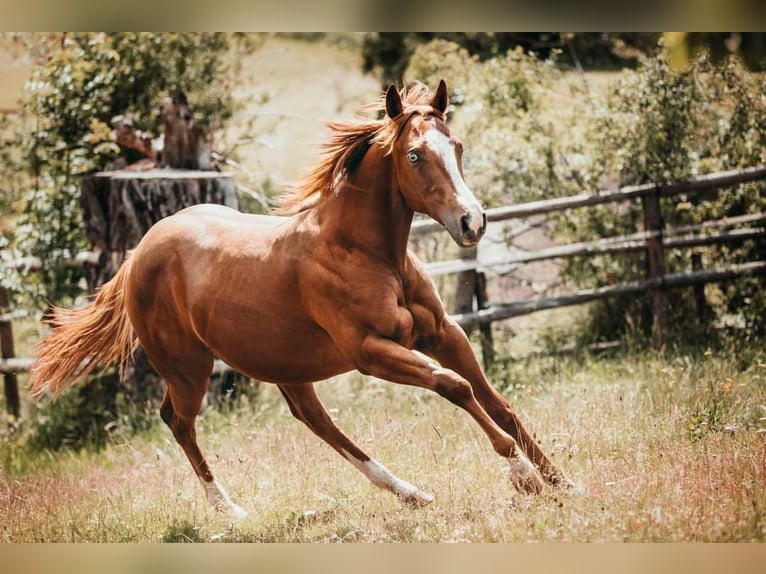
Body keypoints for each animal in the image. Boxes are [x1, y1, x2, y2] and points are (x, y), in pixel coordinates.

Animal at [28, 82, 568, 520]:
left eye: (456, 146)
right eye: (415, 156)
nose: (472, 222)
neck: (366, 252)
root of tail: (140, 251)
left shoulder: (441, 333)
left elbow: (498, 403)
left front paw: (561, 481)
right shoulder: (370, 351)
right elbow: (455, 386)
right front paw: (523, 476)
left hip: (284, 365)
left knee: (315, 421)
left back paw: (412, 494)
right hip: (188, 370)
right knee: (179, 422)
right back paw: (229, 511)